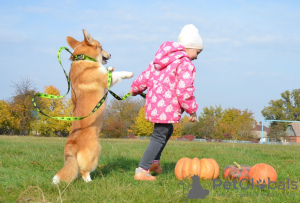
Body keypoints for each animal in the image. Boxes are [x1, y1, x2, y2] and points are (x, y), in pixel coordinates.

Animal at [52, 29, 134, 184]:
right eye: (101, 47)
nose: (110, 54)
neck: (83, 58)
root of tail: (71, 148)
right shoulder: (105, 79)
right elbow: (115, 74)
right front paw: (128, 73)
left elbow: (110, 71)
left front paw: (110, 67)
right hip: (95, 150)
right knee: (84, 171)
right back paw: (90, 181)